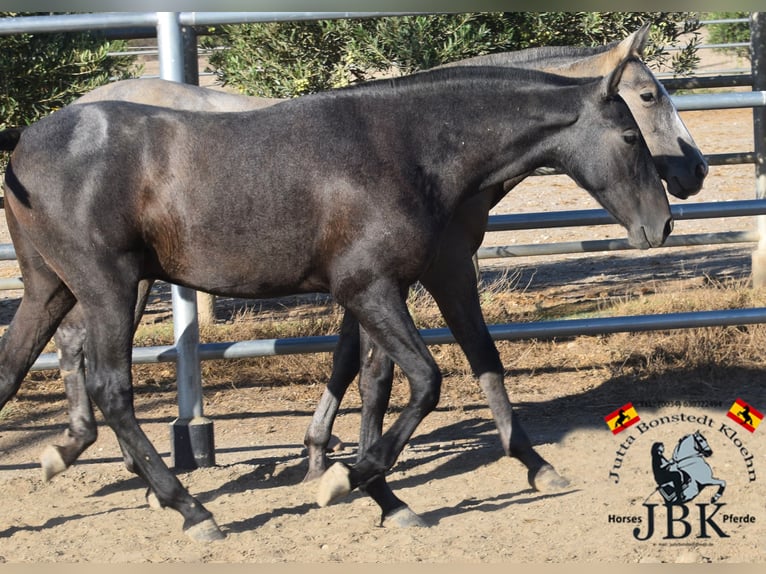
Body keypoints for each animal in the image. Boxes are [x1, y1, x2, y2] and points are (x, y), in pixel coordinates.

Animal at [1, 58, 672, 540]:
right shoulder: (369, 288)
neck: (405, 149)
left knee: (15, 370)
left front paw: (379, 492)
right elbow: (424, 381)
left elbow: (383, 380)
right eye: (630, 134)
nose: (662, 225)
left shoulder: (388, 289)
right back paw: (190, 509)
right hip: (109, 288)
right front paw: (346, 479)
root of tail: (26, 145)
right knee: (110, 388)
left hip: (51, 288)